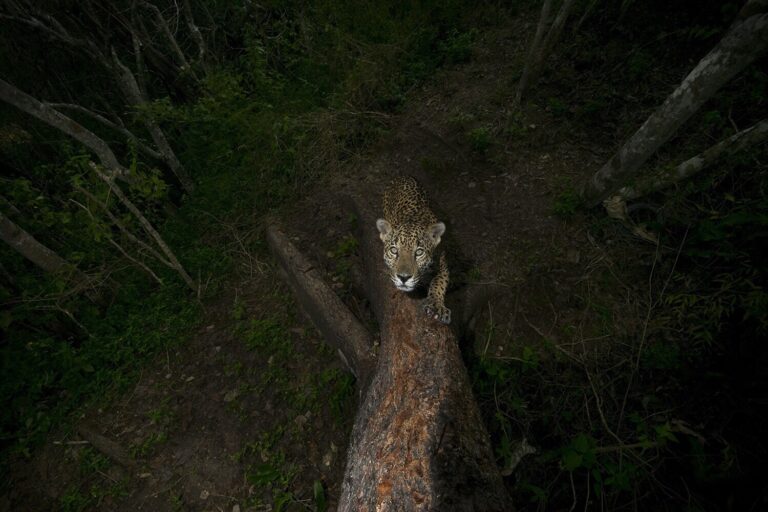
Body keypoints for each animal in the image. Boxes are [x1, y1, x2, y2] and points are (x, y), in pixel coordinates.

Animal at [375, 176, 451, 324]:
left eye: (419, 252)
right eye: (394, 251)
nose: (403, 278)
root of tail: (402, 176)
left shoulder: (443, 265)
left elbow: (439, 282)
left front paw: (436, 305)